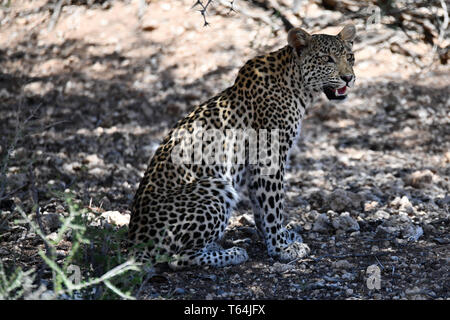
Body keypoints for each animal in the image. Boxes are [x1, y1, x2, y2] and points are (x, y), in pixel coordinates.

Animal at [128, 25, 356, 270]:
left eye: (350, 57)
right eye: (327, 59)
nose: (349, 78)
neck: (297, 86)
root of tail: (134, 242)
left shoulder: (256, 164)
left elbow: (261, 207)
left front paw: (279, 238)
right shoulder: (270, 157)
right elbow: (273, 206)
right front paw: (282, 248)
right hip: (216, 186)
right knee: (177, 259)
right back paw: (232, 253)